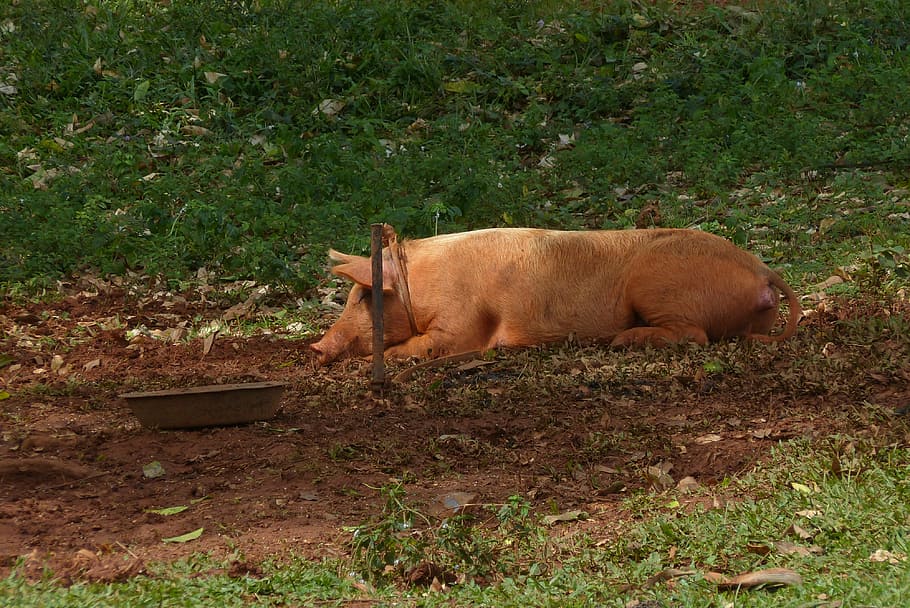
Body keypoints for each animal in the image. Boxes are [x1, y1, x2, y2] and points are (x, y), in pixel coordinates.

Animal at [310, 227, 801, 365]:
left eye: (363, 296)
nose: (315, 346)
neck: (424, 283)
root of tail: (761, 270)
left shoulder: (462, 322)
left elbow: (431, 346)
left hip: (655, 283)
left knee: (695, 335)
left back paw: (623, 342)